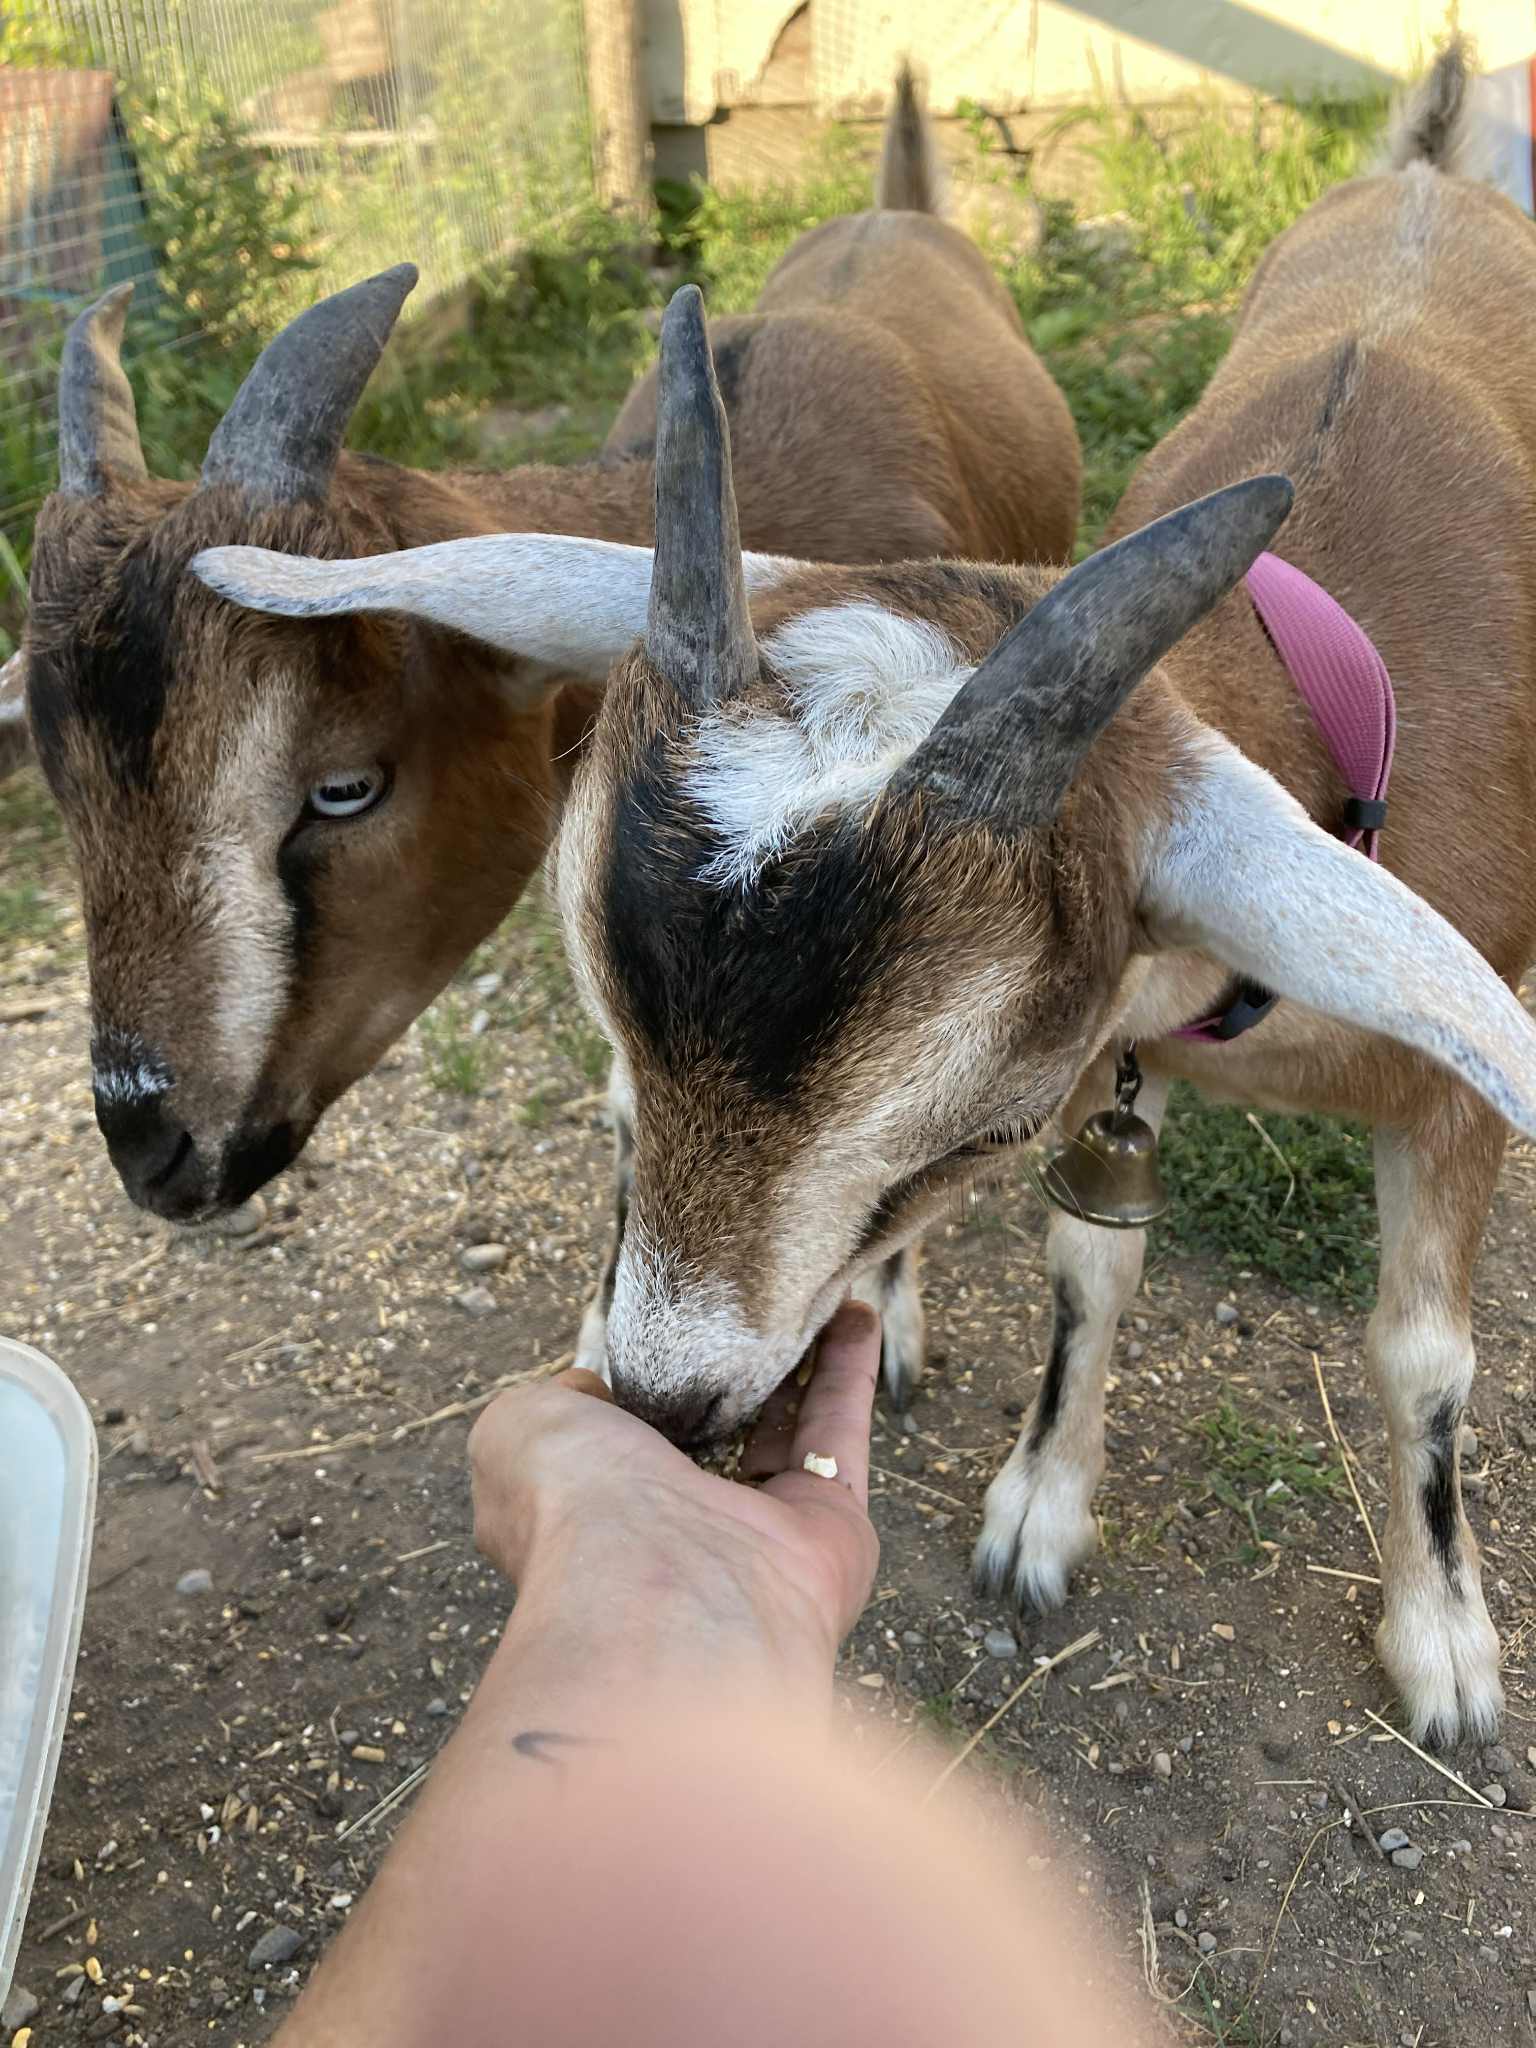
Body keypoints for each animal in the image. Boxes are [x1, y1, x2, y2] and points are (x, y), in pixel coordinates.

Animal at [434, 41, 1531, 1749]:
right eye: (614, 1052)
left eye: (968, 1135)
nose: (667, 1403)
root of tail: (1429, 166)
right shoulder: (1121, 1051)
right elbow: (1095, 1266)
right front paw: (1040, 1511)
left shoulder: (1450, 1088)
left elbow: (1422, 1356)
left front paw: (1447, 1652)